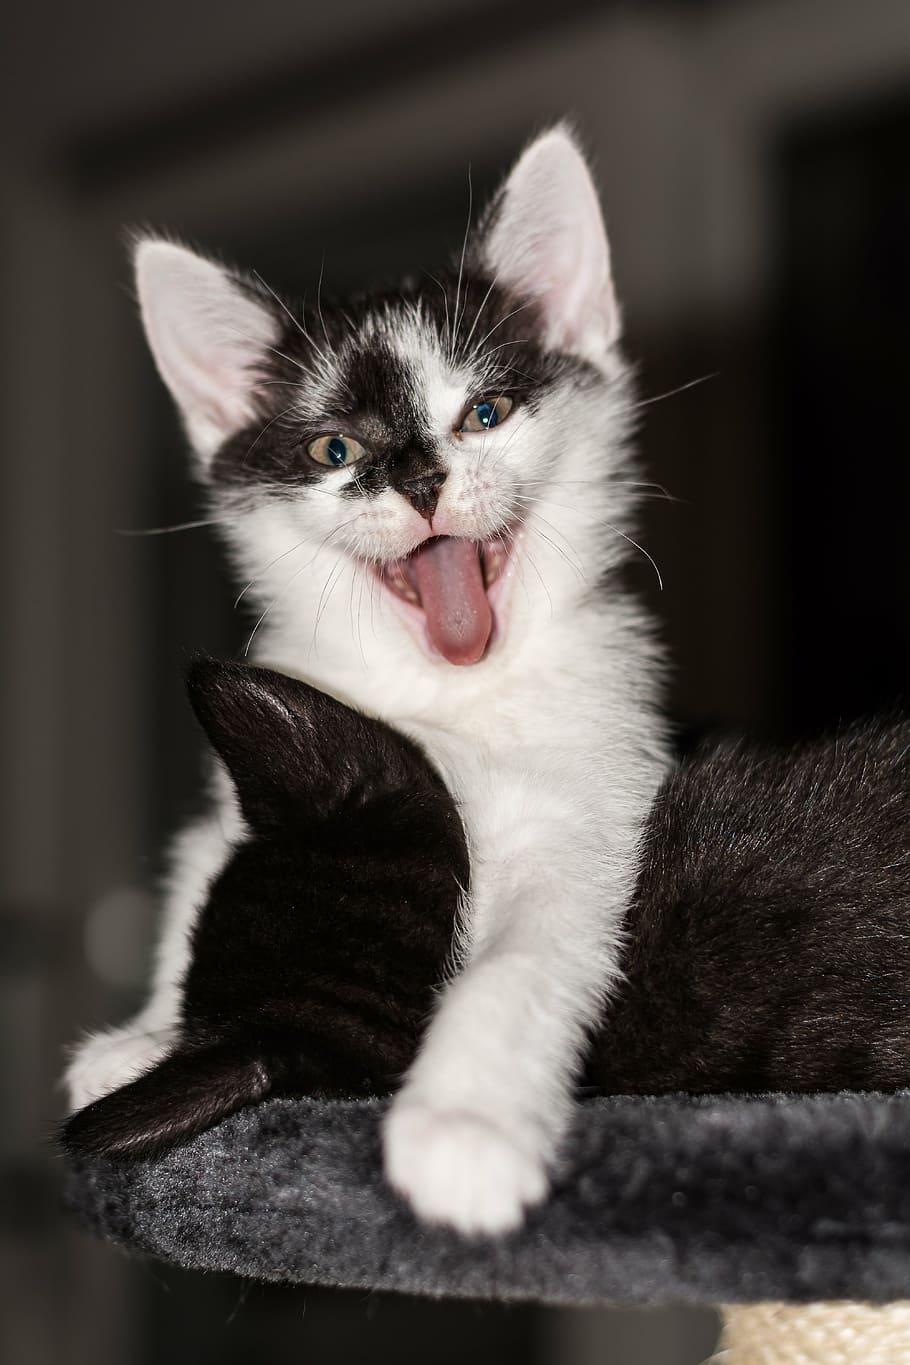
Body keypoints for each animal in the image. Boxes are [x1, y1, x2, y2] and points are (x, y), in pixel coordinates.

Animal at [60, 130, 665, 1239]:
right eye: (335, 448)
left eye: (484, 413)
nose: (419, 479)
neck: (448, 693)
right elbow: (201, 861)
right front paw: (148, 1035)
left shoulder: (597, 803)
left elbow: (528, 954)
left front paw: (463, 1129)